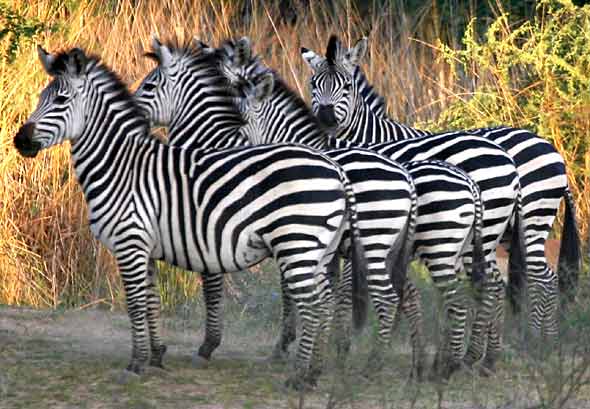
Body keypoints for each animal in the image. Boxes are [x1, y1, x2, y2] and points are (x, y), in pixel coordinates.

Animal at [12, 46, 370, 388]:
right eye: (41, 98)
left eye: (60, 100)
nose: (20, 140)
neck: (122, 166)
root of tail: (334, 166)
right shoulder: (146, 247)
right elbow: (151, 301)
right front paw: (156, 355)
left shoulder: (130, 243)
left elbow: (135, 303)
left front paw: (135, 364)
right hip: (318, 249)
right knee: (324, 300)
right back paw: (313, 372)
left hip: (298, 244)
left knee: (314, 304)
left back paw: (299, 377)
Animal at [136, 38, 428, 376]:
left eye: (149, 85)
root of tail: (404, 177)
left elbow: (218, 279)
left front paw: (215, 343)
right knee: (409, 292)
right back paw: (417, 361)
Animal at [302, 35, 584, 342]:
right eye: (313, 84)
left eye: (346, 86)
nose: (326, 118)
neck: (373, 140)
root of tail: (553, 152)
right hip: (513, 230)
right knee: (546, 277)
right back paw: (543, 337)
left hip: (530, 219)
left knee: (540, 279)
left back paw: (535, 338)